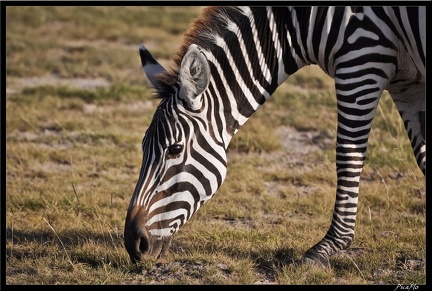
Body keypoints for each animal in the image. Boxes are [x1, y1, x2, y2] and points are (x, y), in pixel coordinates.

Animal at [122, 6, 426, 268]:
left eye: (175, 149)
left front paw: (326, 249)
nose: (132, 244)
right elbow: (423, 156)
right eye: (143, 148)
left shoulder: (362, 60)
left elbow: (348, 157)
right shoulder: (406, 83)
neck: (304, 21)